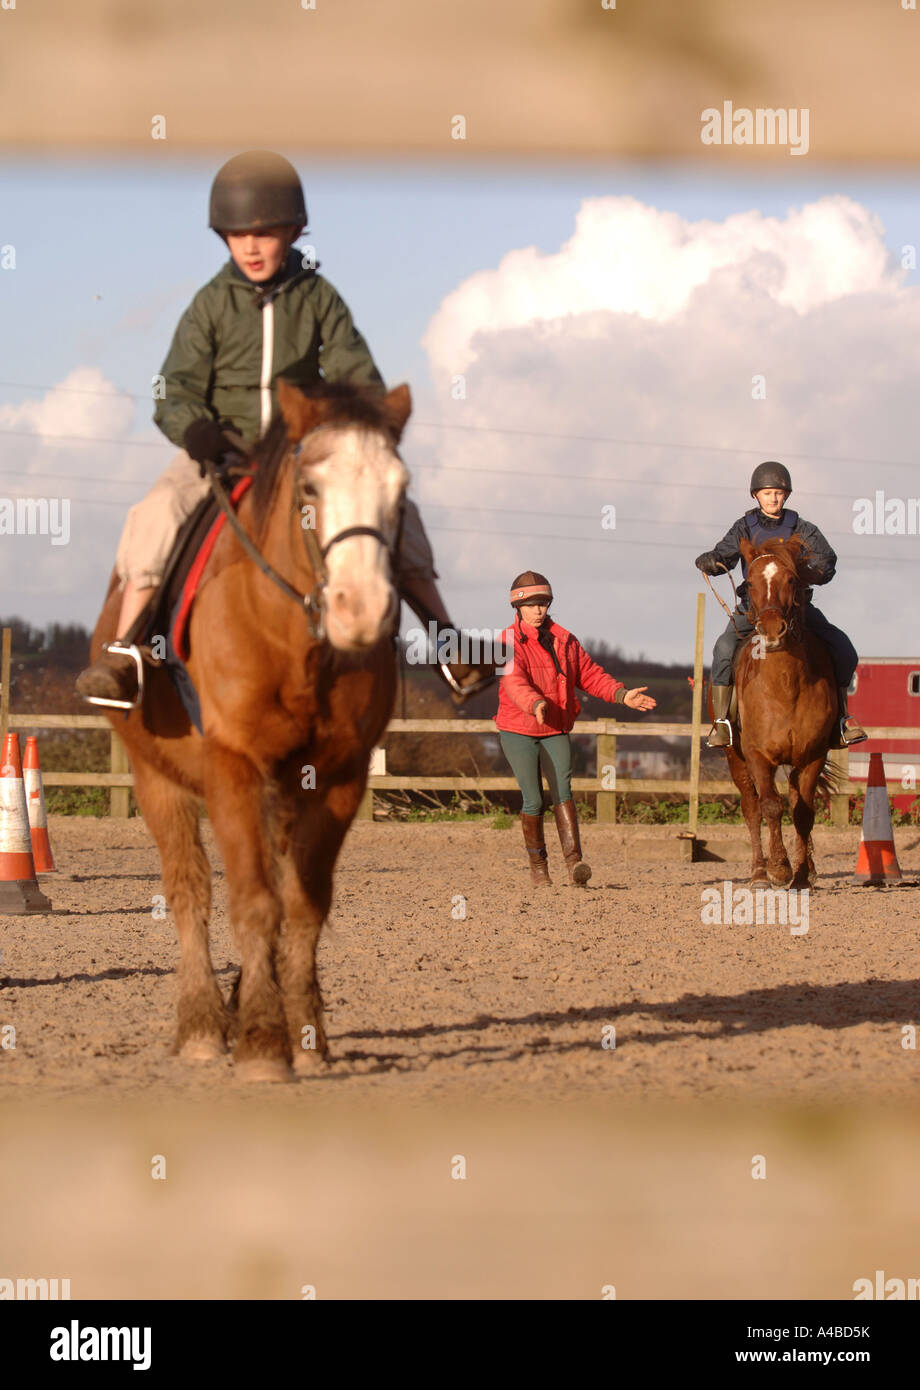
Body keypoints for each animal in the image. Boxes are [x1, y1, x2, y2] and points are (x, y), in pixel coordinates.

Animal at [88, 383, 411, 1084]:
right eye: (309, 486)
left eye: (400, 490)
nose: (361, 610)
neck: (292, 638)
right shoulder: (233, 767)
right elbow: (252, 900)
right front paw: (264, 1041)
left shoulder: (339, 779)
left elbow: (304, 905)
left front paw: (304, 1033)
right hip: (159, 781)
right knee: (189, 893)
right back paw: (205, 1026)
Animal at [711, 533, 844, 889]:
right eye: (749, 584)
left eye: (792, 580)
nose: (772, 629)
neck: (785, 686)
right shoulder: (757, 756)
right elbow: (770, 807)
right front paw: (779, 868)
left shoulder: (812, 756)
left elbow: (803, 812)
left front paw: (800, 875)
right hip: (735, 758)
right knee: (751, 808)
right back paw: (759, 871)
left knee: (797, 804)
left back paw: (806, 868)